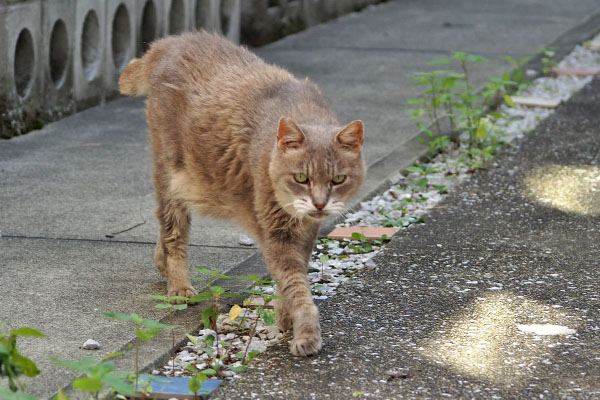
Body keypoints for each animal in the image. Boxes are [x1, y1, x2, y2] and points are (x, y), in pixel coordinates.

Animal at [115, 32, 364, 356]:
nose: (320, 203)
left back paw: (162, 264)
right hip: (172, 172)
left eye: (338, 179)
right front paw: (305, 332)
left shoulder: (306, 231)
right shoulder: (275, 231)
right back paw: (178, 285)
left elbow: (292, 276)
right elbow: (295, 283)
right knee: (173, 230)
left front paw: (285, 317)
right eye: (301, 178)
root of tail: (169, 43)